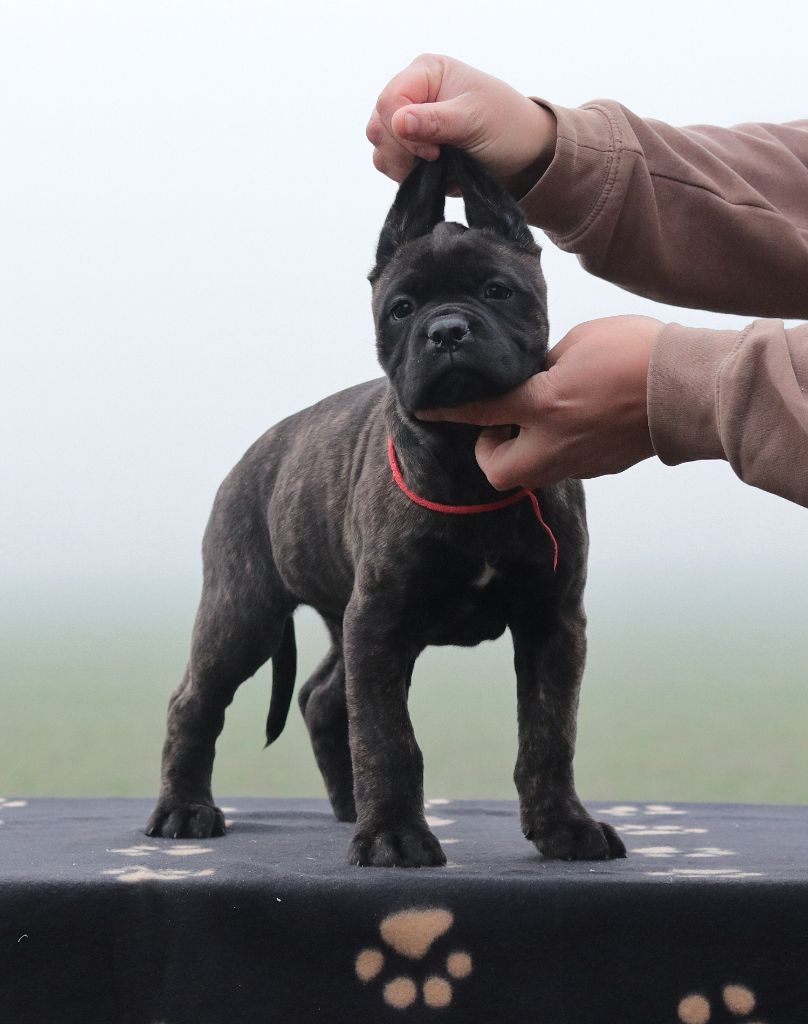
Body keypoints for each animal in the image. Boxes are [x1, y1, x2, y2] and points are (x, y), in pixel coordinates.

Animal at [145, 148, 622, 864]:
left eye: (497, 291)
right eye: (401, 308)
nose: (447, 330)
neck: (465, 460)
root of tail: (254, 453)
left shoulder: (550, 621)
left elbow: (547, 733)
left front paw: (563, 825)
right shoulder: (381, 623)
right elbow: (388, 738)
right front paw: (395, 835)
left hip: (339, 614)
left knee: (321, 698)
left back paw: (348, 808)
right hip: (244, 610)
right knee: (196, 701)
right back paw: (184, 809)